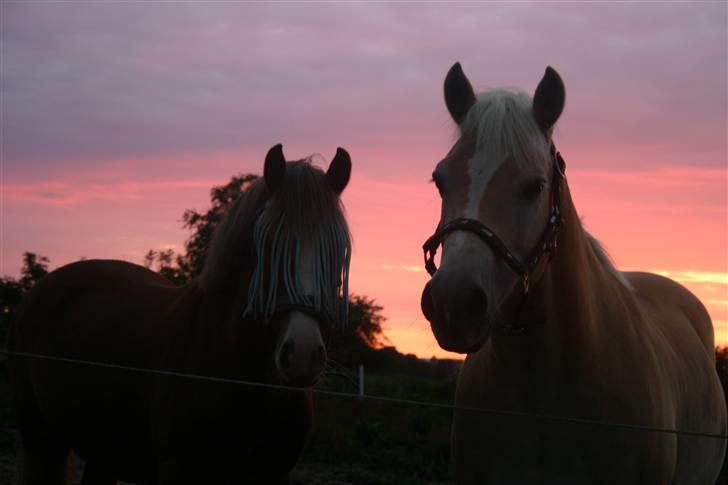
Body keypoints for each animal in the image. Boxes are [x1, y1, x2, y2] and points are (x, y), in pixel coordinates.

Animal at [7, 144, 352, 484]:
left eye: (338, 252)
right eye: (264, 247)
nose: (302, 355)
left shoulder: (274, 474)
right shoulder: (178, 469)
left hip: (102, 450)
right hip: (40, 436)